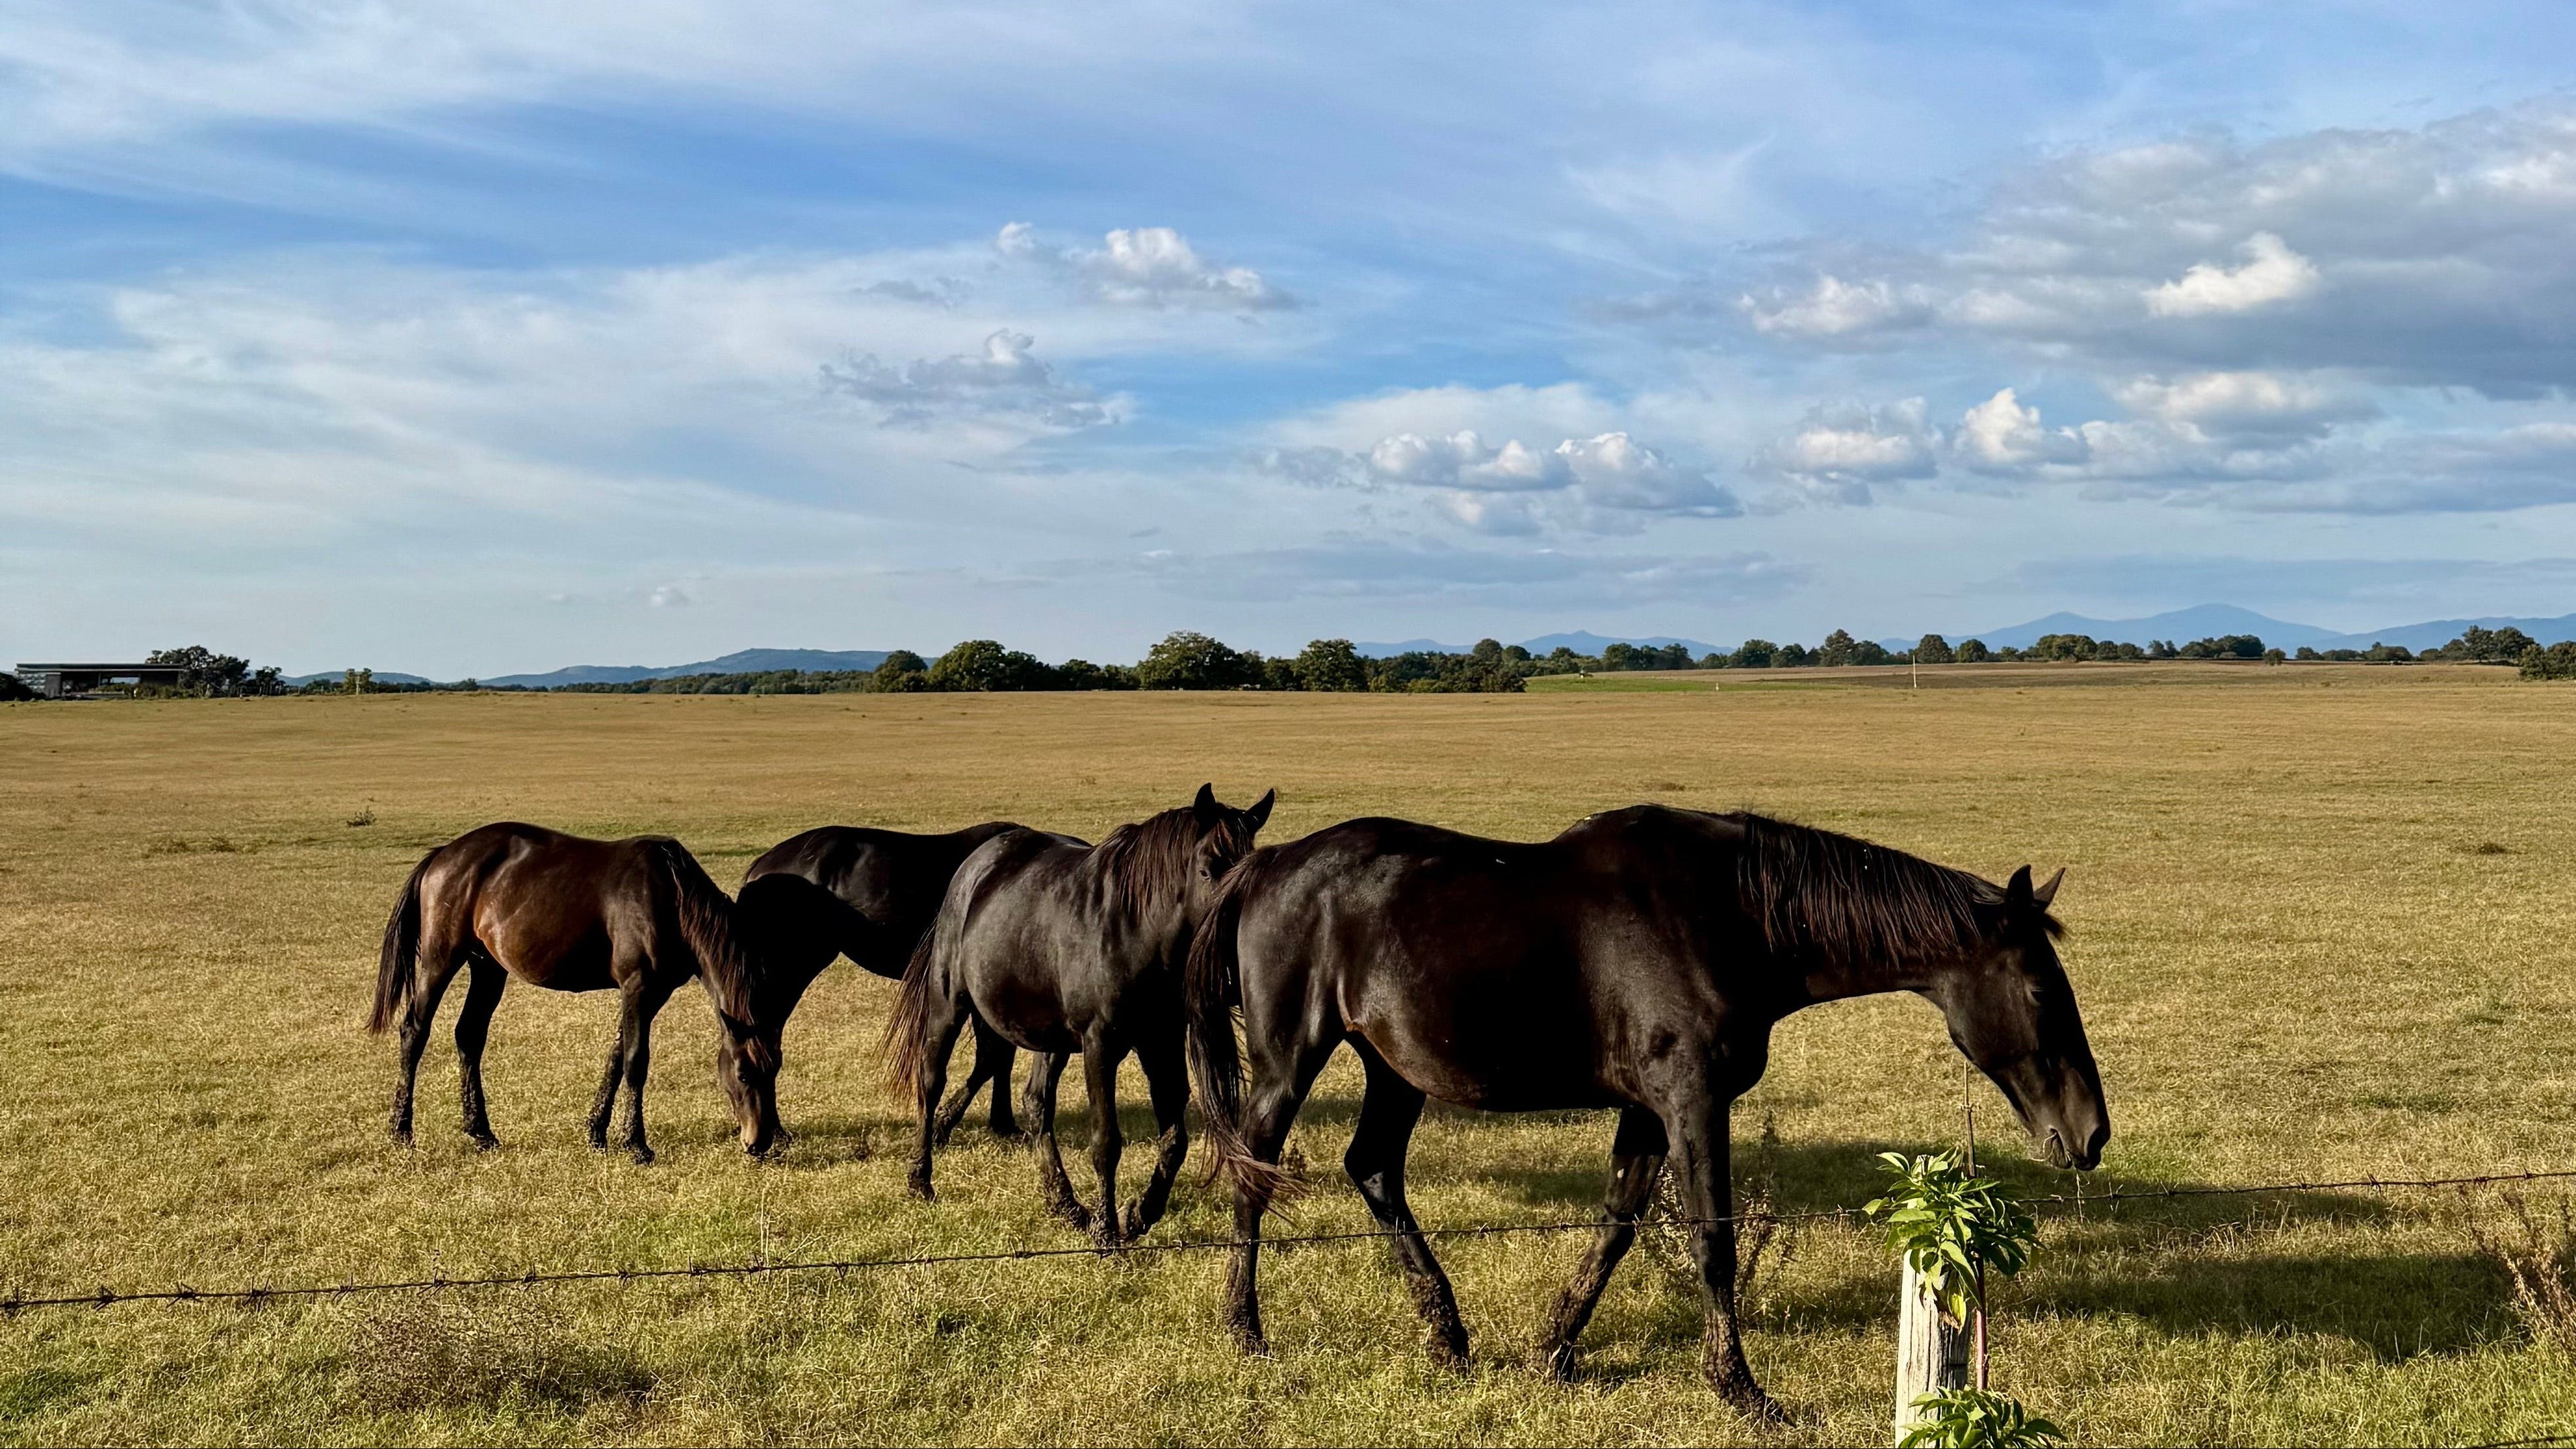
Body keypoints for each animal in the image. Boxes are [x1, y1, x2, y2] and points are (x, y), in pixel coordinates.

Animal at [369, 822, 781, 1163]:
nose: (760, 1142)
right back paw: (402, 1130)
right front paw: (636, 1144)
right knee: (415, 1031)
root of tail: (444, 854)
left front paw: (597, 1132)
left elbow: (616, 1057)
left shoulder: (652, 993)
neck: (670, 897)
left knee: (469, 1035)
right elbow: (635, 1061)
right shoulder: (638, 987)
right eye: (743, 1074)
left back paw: (481, 1132)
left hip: (487, 967)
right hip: (441, 960)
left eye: (775, 1069)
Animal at [888, 785, 1275, 1245]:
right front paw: (1107, 1230)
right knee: (931, 1081)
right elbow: (1106, 1142)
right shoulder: (1100, 1045)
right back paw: (920, 1179)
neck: (1135, 930)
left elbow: (1174, 1139)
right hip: (949, 1004)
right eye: (1206, 871)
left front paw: (1138, 1215)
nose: (1232, 971)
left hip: (1050, 1037)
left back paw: (1066, 1204)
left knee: (1036, 1103)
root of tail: (976, 866)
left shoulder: (1160, 1041)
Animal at [1185, 806, 2108, 1419]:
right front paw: (1739, 1387)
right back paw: (1244, 1328)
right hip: (1289, 1060)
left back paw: (1447, 1334)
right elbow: (1712, 1242)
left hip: (1392, 1069)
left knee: (1373, 1169)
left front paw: (1555, 1349)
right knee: (1252, 1172)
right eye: (2039, 989)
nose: (2091, 1132)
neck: (1730, 915)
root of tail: (1266, 867)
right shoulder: (1691, 1102)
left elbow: (1617, 1225)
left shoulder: (1647, 1112)